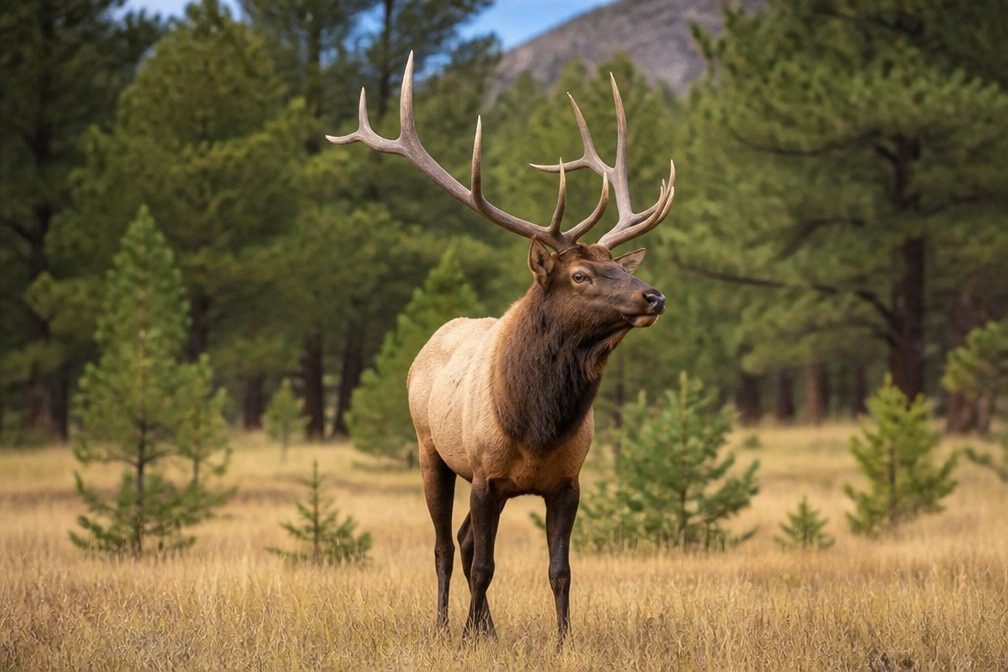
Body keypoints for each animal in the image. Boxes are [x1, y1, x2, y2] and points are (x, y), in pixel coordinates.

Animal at [326, 52, 674, 645]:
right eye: (580, 275)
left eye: (617, 267)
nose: (654, 295)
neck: (536, 424)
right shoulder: (486, 476)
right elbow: (485, 564)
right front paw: (467, 633)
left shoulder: (566, 482)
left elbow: (560, 569)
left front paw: (561, 640)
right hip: (433, 452)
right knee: (446, 547)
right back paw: (448, 625)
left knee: (465, 542)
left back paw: (484, 626)